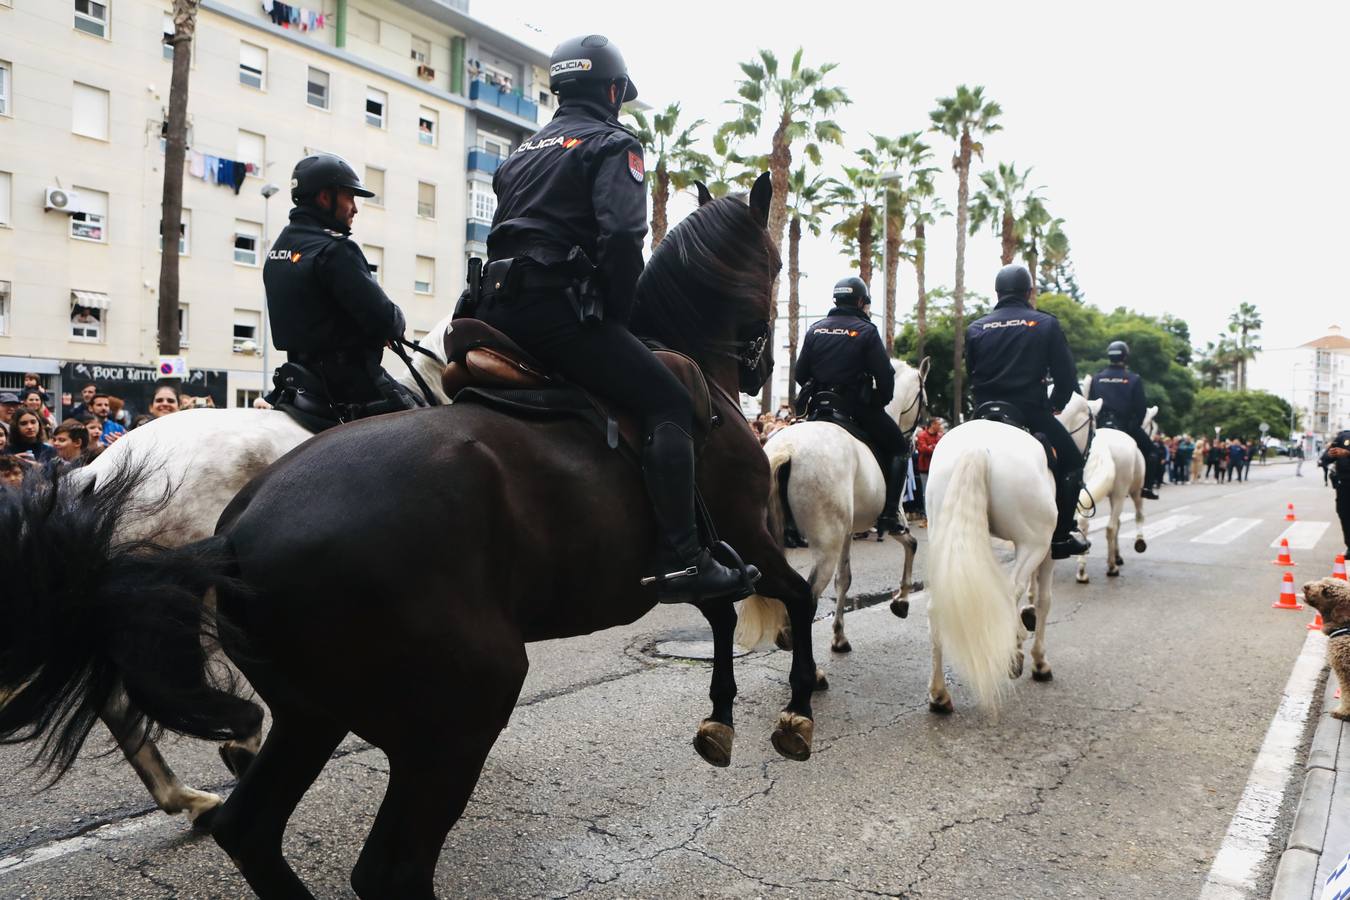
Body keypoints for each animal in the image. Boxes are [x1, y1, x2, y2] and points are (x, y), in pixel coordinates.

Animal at [756, 358, 934, 655]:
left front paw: (839, 636)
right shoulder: (893, 518)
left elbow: (845, 579)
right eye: (926, 402)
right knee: (808, 596)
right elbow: (912, 545)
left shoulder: (847, 531)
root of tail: (787, 448)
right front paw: (901, 601)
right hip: (826, 543)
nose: (911, 443)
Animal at [923, 391, 1101, 712]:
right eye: (1093, 431)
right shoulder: (1047, 551)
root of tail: (977, 446)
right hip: (1034, 543)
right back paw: (1015, 650)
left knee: (937, 607)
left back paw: (939, 694)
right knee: (1009, 589)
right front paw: (1038, 660)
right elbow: (1043, 600)